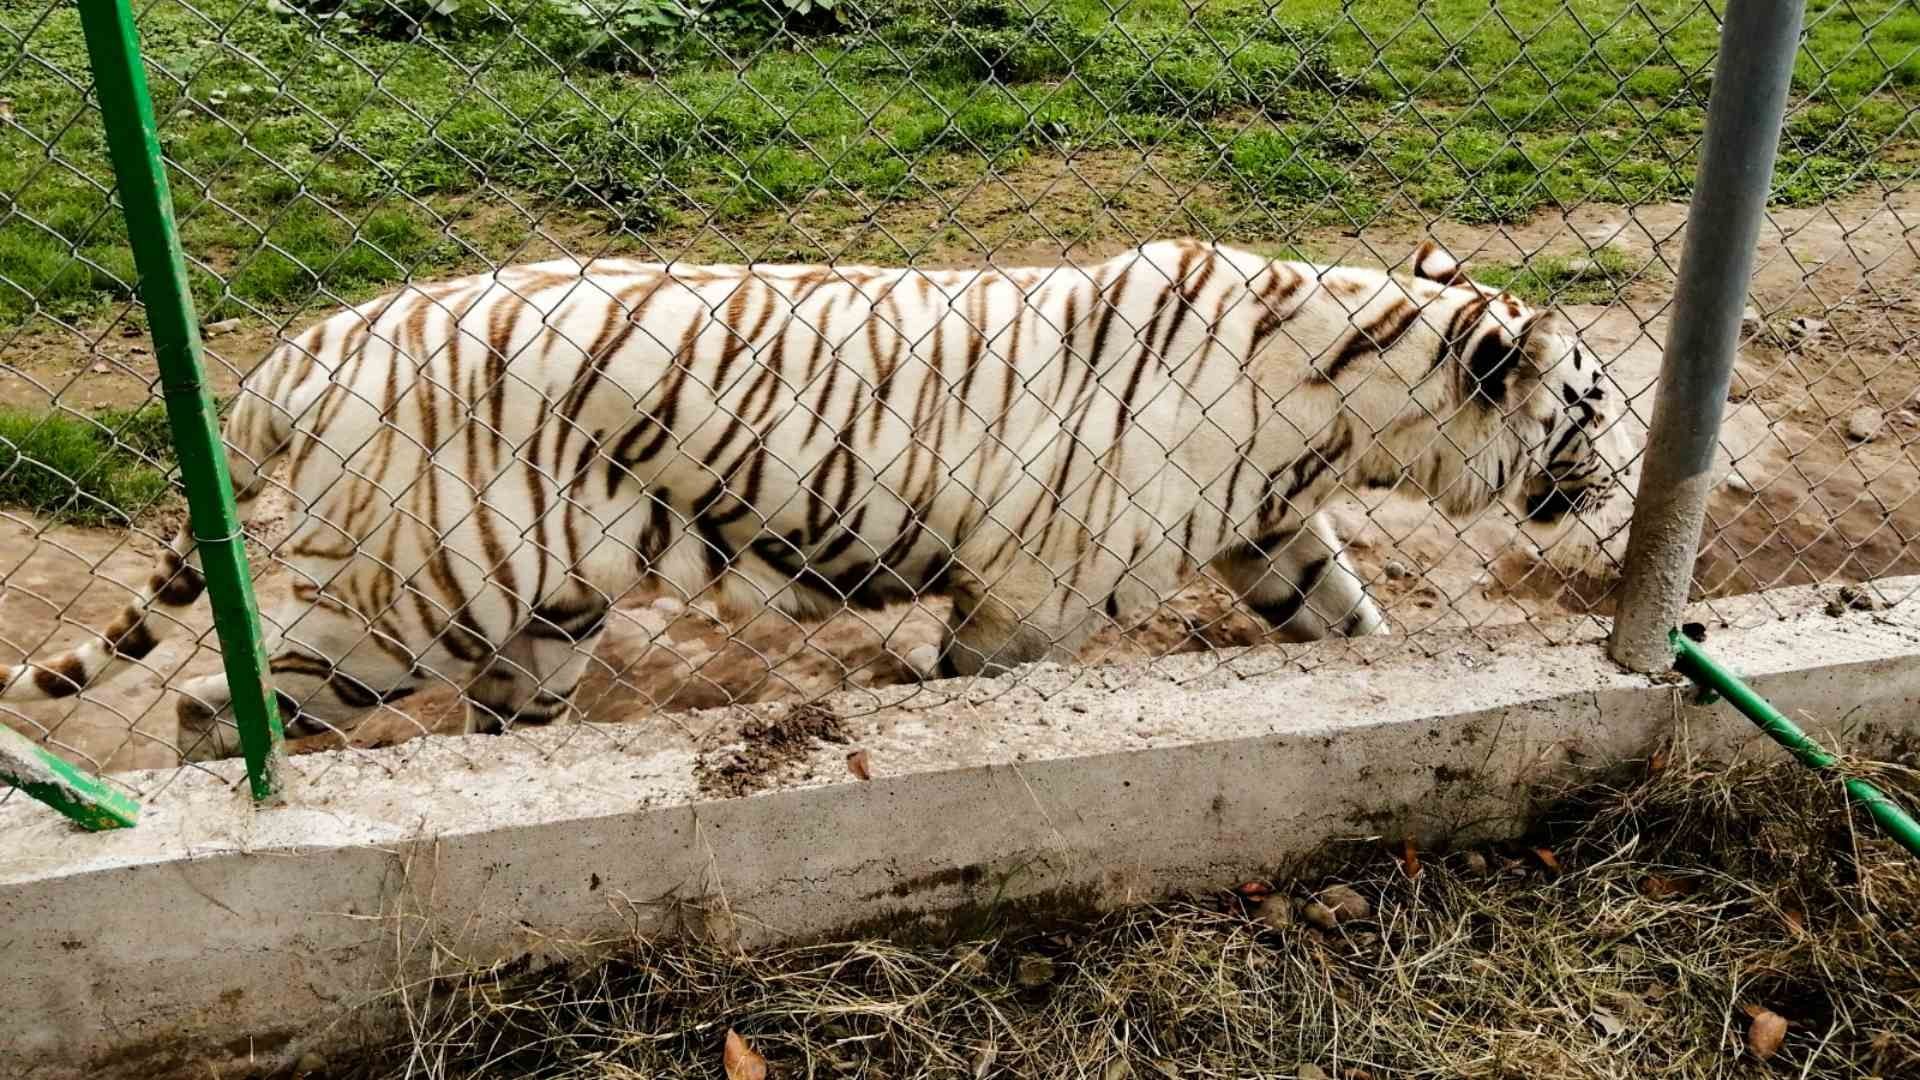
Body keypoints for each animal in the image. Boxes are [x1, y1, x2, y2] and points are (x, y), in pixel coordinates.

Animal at [0, 238, 1629, 760]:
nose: (1622, 477)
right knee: (216, 709)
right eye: (1598, 404)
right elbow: (975, 689)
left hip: (545, 613)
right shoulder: (1028, 600)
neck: (1342, 405)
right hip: (412, 596)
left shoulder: (1271, 530)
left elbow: (1347, 628)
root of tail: (312, 341)